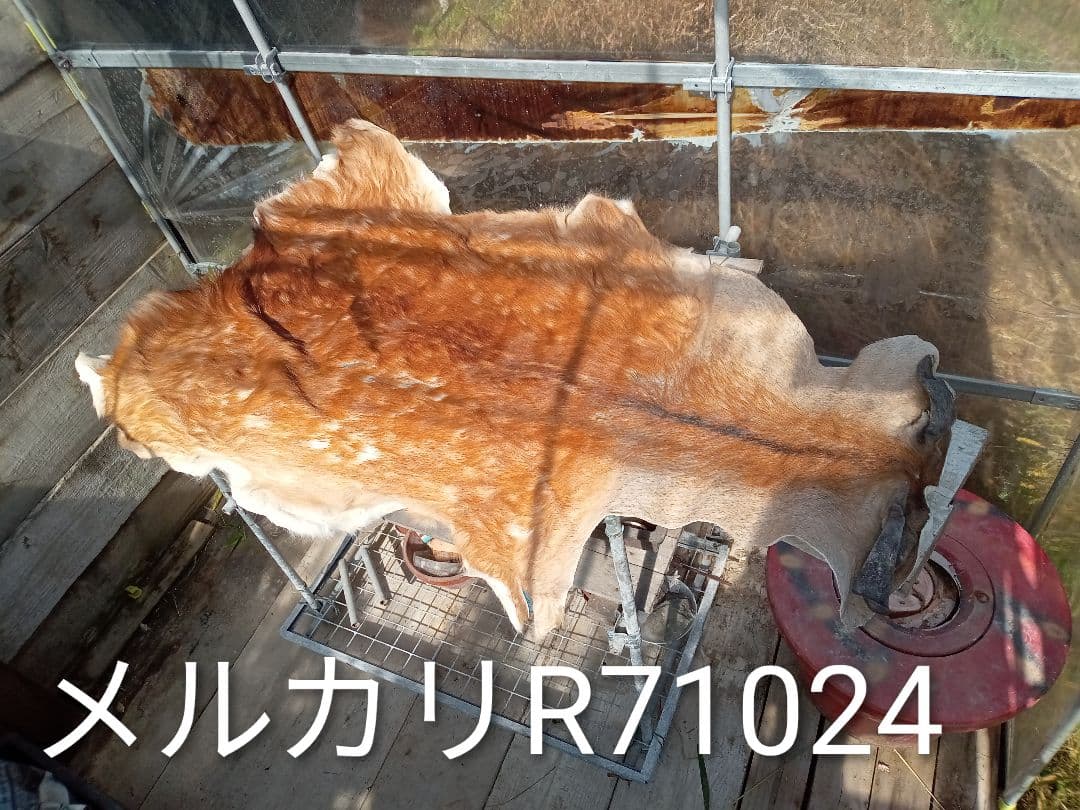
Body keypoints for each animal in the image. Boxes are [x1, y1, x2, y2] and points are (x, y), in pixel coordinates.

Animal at [76, 119, 955, 640]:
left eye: (922, 487)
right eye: (909, 518)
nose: (925, 474)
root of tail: (235, 271)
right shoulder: (522, 549)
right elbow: (534, 611)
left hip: (382, 187)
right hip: (164, 416)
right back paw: (93, 371)